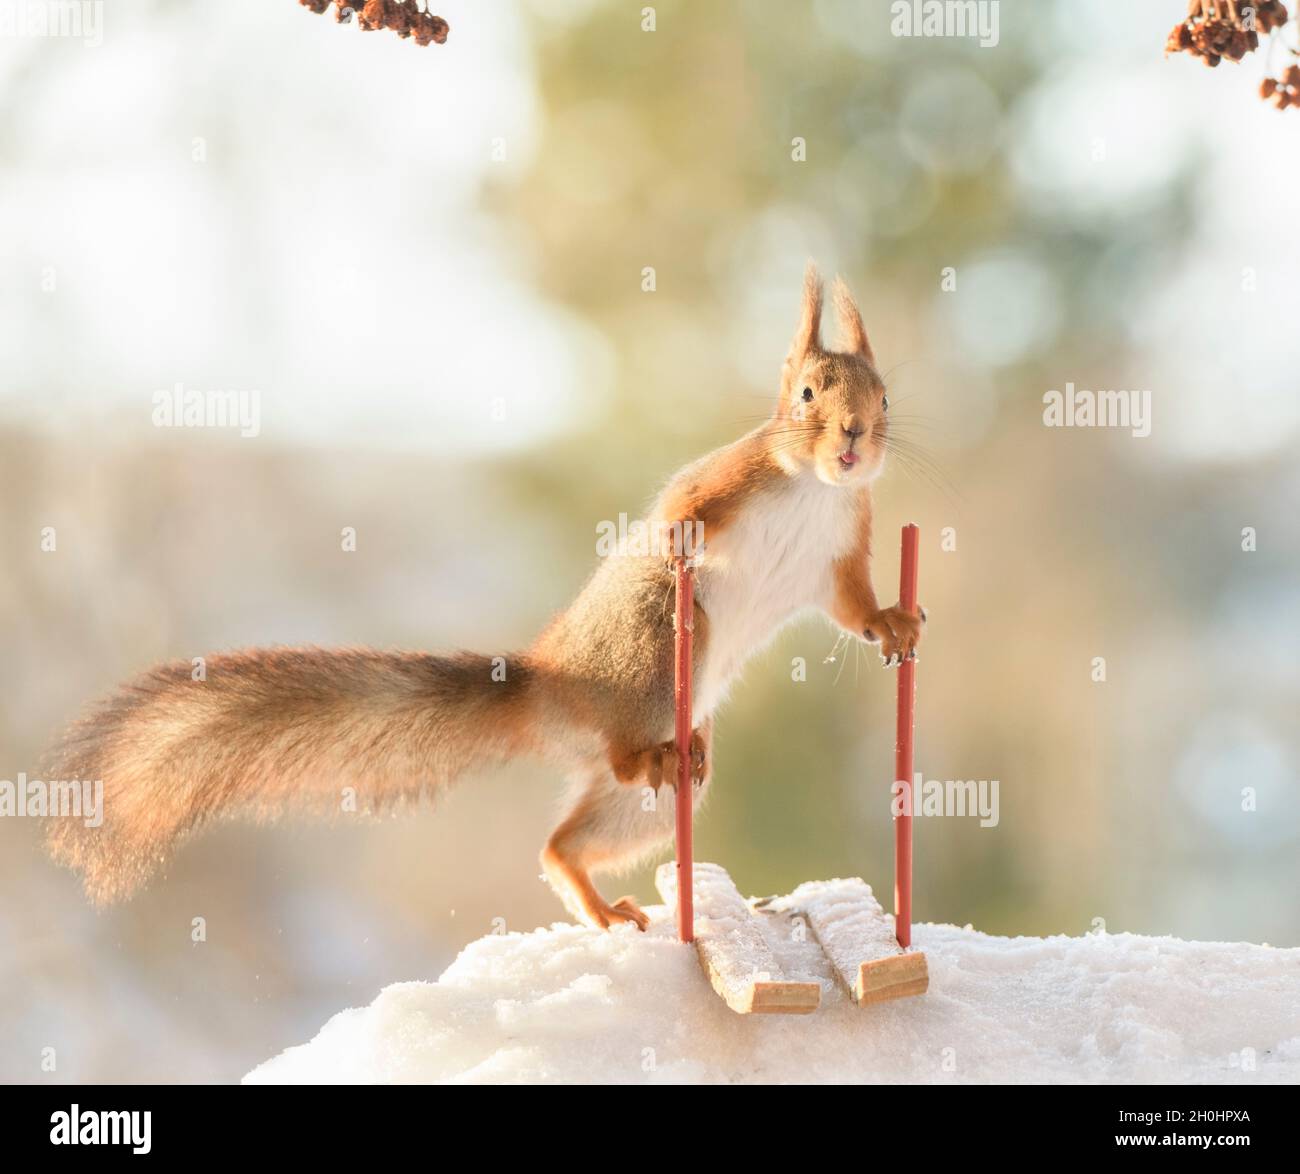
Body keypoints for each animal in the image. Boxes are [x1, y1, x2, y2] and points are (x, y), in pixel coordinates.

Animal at [44, 264, 924, 931]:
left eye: (885, 397)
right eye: (806, 394)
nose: (854, 434)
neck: (813, 489)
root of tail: (552, 684)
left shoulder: (841, 547)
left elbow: (854, 608)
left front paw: (894, 623)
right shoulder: (727, 481)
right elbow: (679, 510)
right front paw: (675, 548)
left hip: (647, 794)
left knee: (566, 841)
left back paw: (599, 888)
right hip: (647, 661)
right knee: (624, 747)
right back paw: (645, 756)